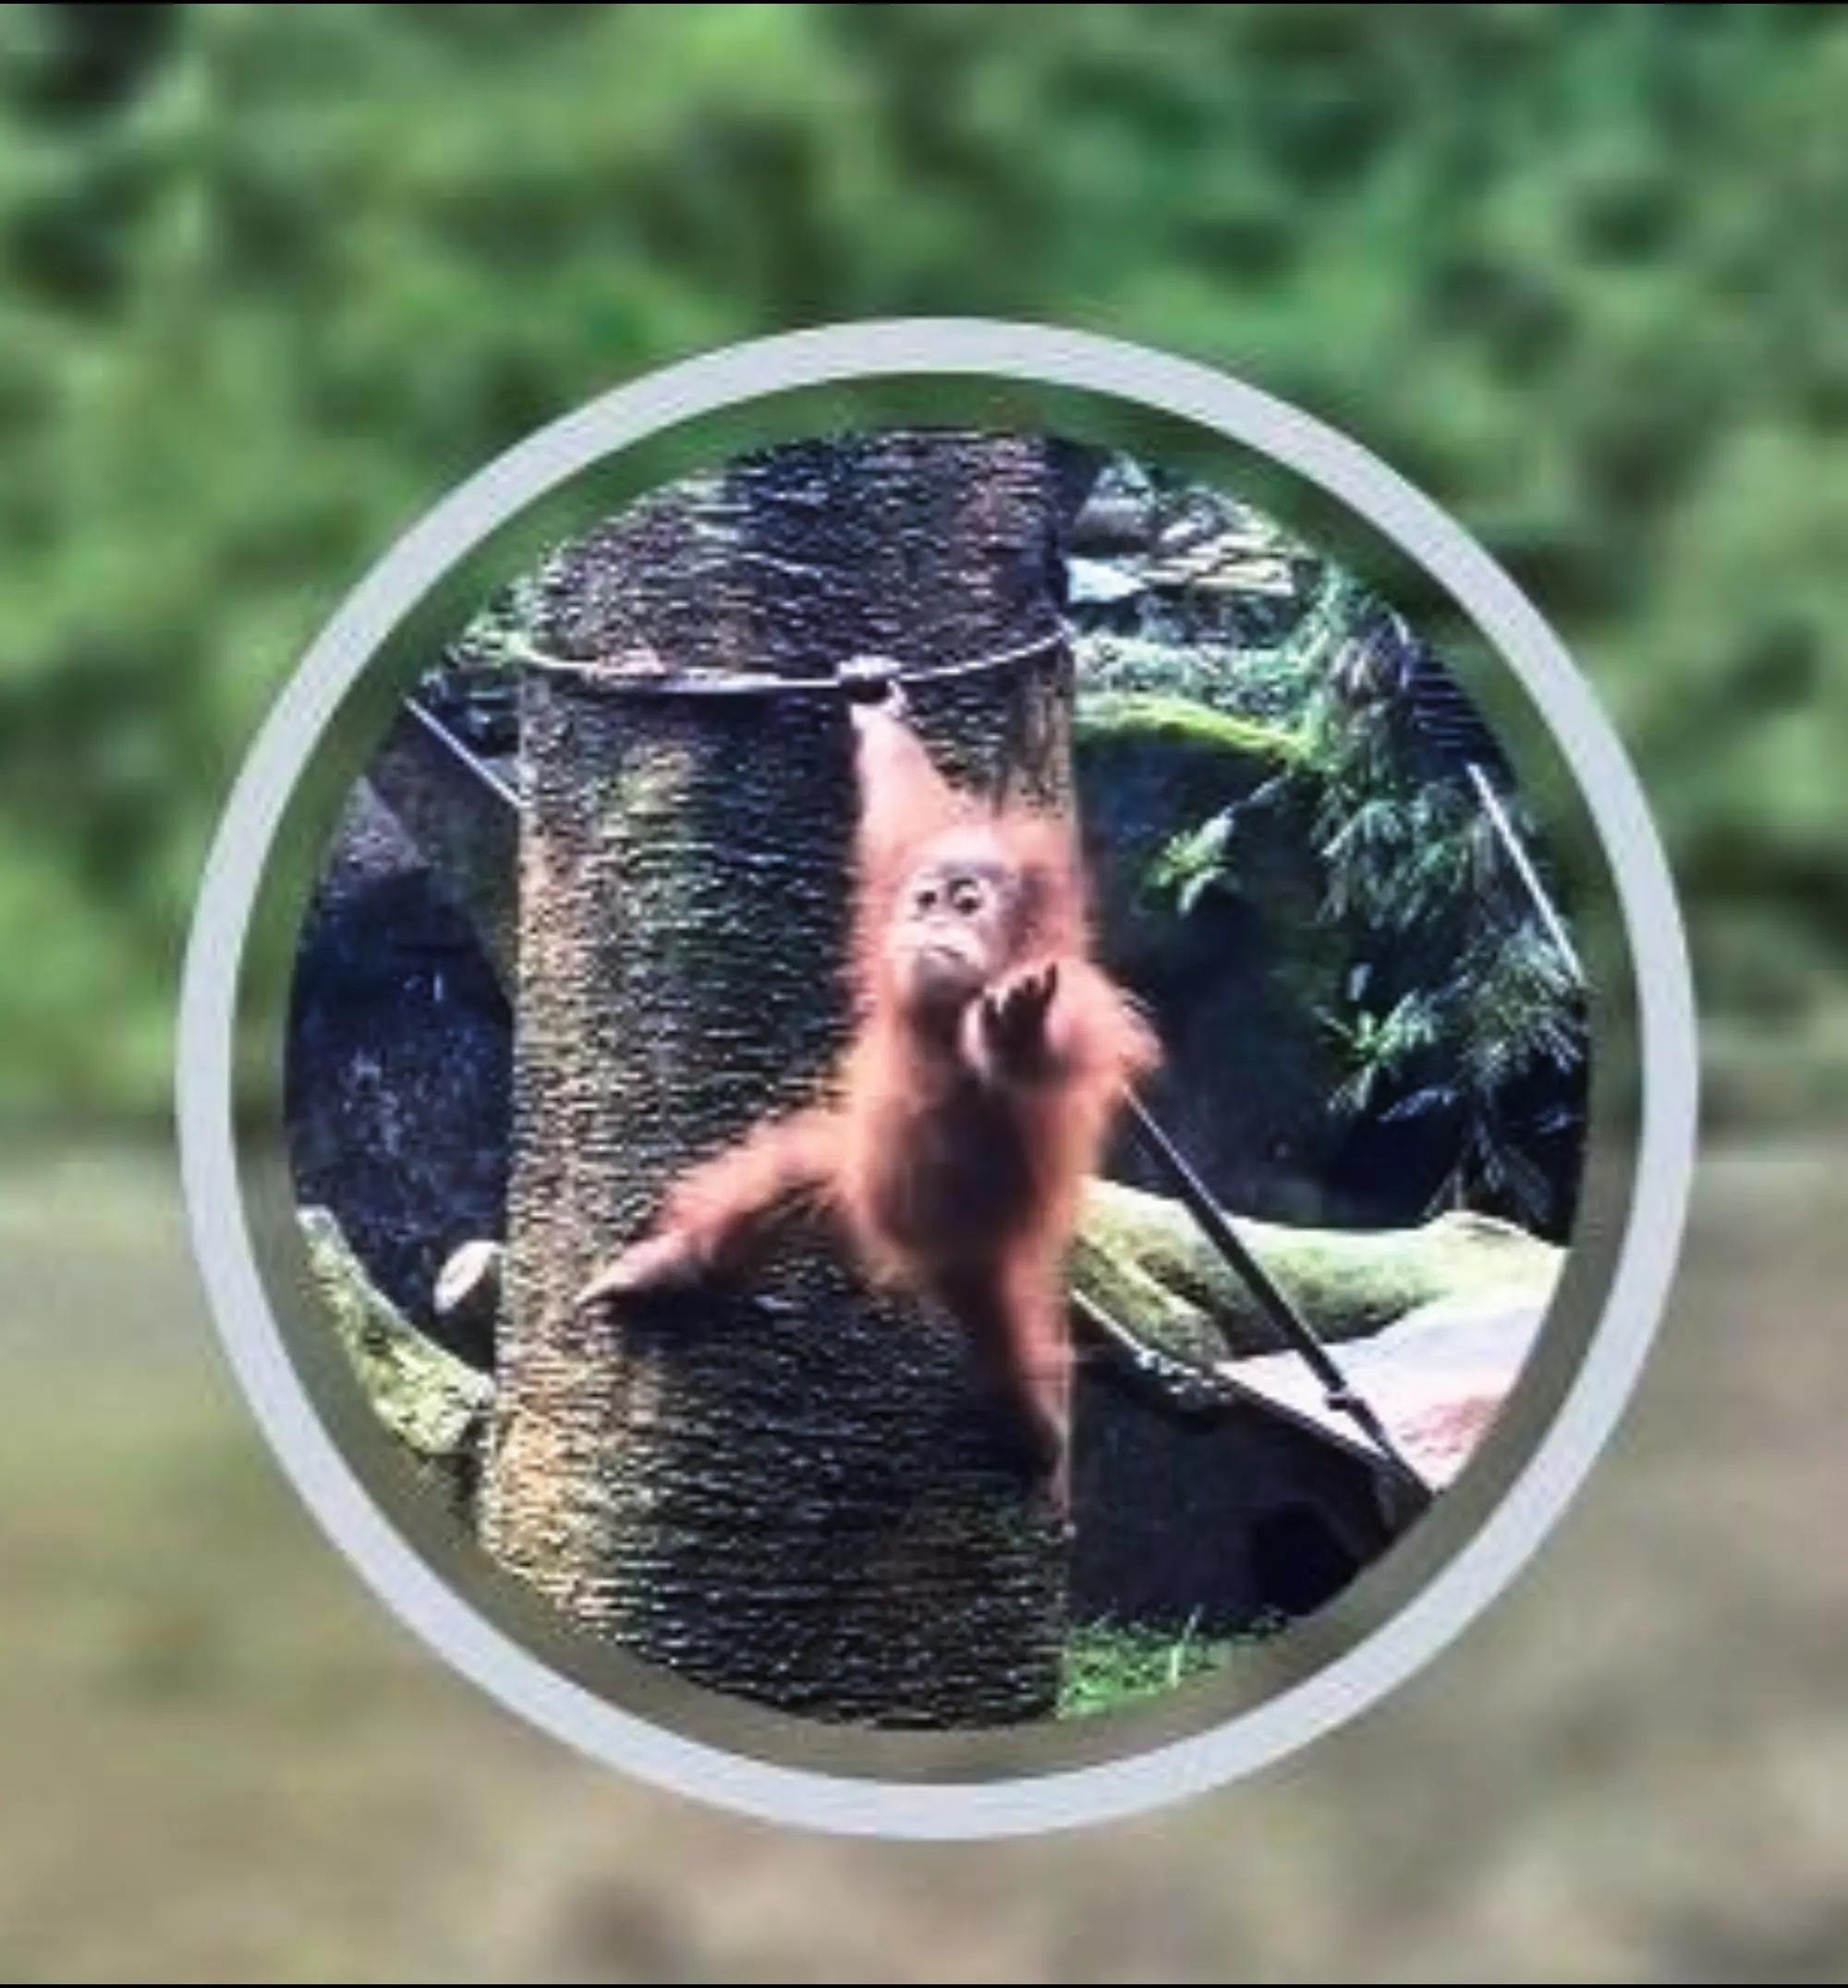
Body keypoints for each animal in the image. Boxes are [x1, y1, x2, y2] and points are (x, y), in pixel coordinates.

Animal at [575, 691, 1158, 1511]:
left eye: (968, 902)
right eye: (926, 896)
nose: (931, 920)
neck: (941, 1021)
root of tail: (915, 1255)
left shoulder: (1080, 997)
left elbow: (1052, 1052)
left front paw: (1014, 1028)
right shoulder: (905, 859)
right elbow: (902, 813)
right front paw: (880, 719)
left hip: (982, 1249)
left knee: (1004, 1337)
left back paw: (1033, 1426)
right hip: (850, 1180)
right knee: (785, 1174)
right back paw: (670, 1264)